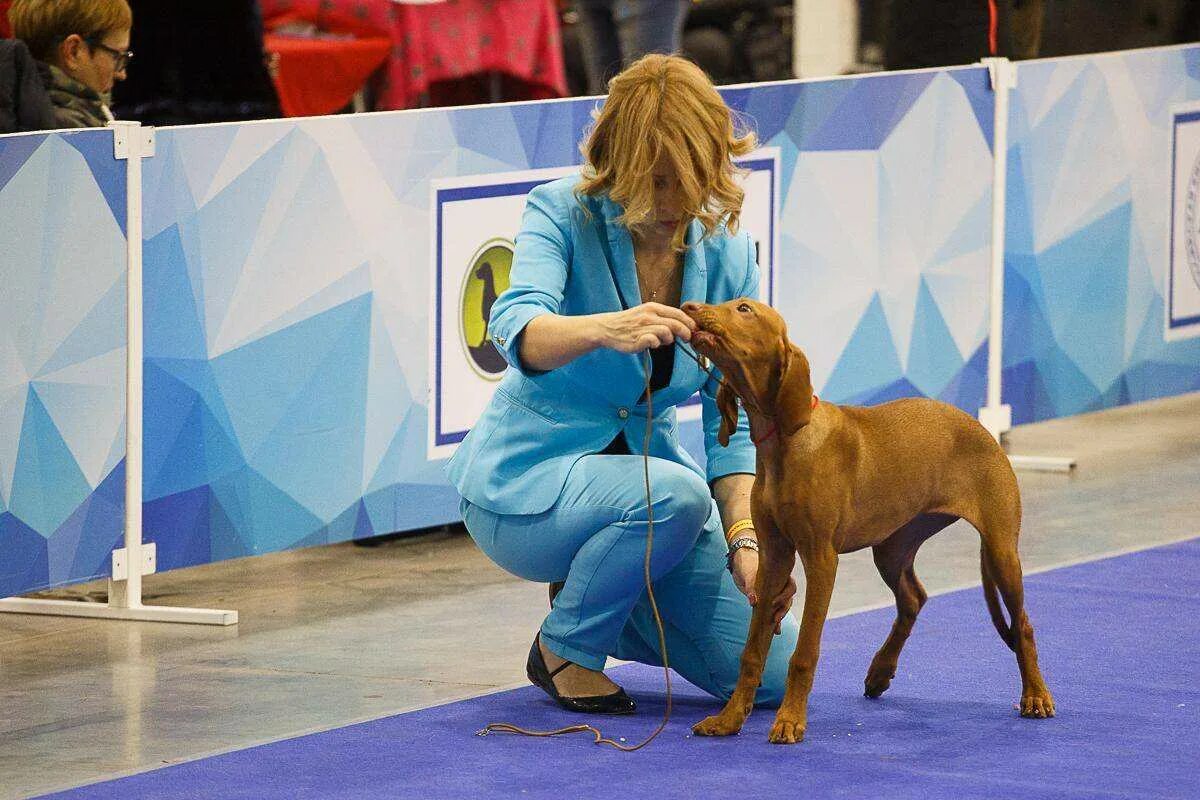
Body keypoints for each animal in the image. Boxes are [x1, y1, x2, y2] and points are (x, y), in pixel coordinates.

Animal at [681, 297, 1056, 748]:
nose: (689, 306)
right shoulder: (774, 556)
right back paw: (880, 671)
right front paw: (730, 718)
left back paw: (1035, 695)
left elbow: (804, 653)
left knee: (1023, 624)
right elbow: (752, 652)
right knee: (913, 598)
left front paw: (790, 721)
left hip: (1001, 549)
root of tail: (981, 425)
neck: (784, 442)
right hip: (892, 547)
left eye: (744, 308)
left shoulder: (821, 558)